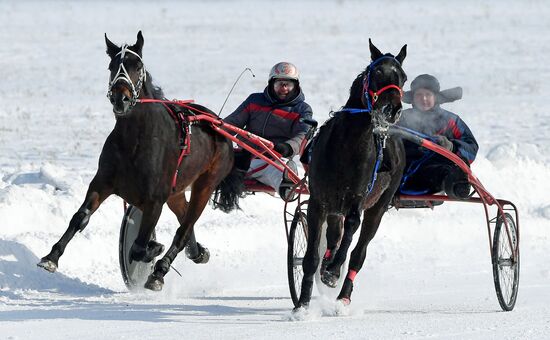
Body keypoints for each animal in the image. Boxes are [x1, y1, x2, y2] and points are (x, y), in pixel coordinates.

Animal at [36, 31, 239, 290]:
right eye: (112, 66)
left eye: (138, 66)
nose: (120, 98)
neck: (135, 140)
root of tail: (219, 125)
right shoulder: (102, 183)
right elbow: (80, 217)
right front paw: (51, 257)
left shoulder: (154, 200)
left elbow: (139, 247)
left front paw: (154, 249)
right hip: (176, 192)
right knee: (185, 219)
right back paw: (197, 252)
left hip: (206, 183)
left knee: (183, 230)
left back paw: (159, 272)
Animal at [298, 40, 410, 310]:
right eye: (377, 72)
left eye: (403, 77)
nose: (392, 109)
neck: (347, 146)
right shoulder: (318, 201)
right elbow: (311, 256)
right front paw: (302, 306)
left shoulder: (358, 199)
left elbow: (351, 231)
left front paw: (333, 271)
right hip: (334, 206)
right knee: (333, 236)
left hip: (378, 206)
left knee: (358, 252)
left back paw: (343, 295)